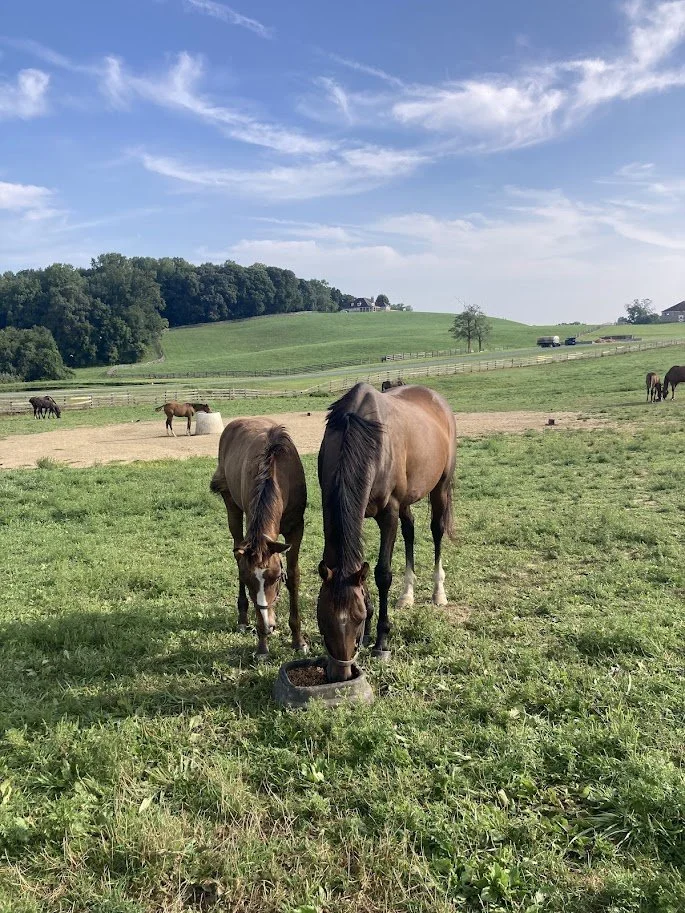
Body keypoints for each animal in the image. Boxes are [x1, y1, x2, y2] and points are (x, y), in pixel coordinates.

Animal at [210, 418, 308, 660]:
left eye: (276, 578)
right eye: (248, 581)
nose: (266, 624)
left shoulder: (296, 528)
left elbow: (294, 576)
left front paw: (298, 640)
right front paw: (262, 645)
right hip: (232, 509)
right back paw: (244, 619)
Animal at [317, 382, 457, 681]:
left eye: (356, 618)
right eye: (322, 618)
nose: (341, 674)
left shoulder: (388, 513)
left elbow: (382, 574)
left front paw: (381, 639)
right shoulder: (334, 511)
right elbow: (360, 570)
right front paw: (370, 631)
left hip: (440, 487)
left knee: (436, 531)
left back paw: (438, 593)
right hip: (407, 501)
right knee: (410, 530)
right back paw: (407, 595)